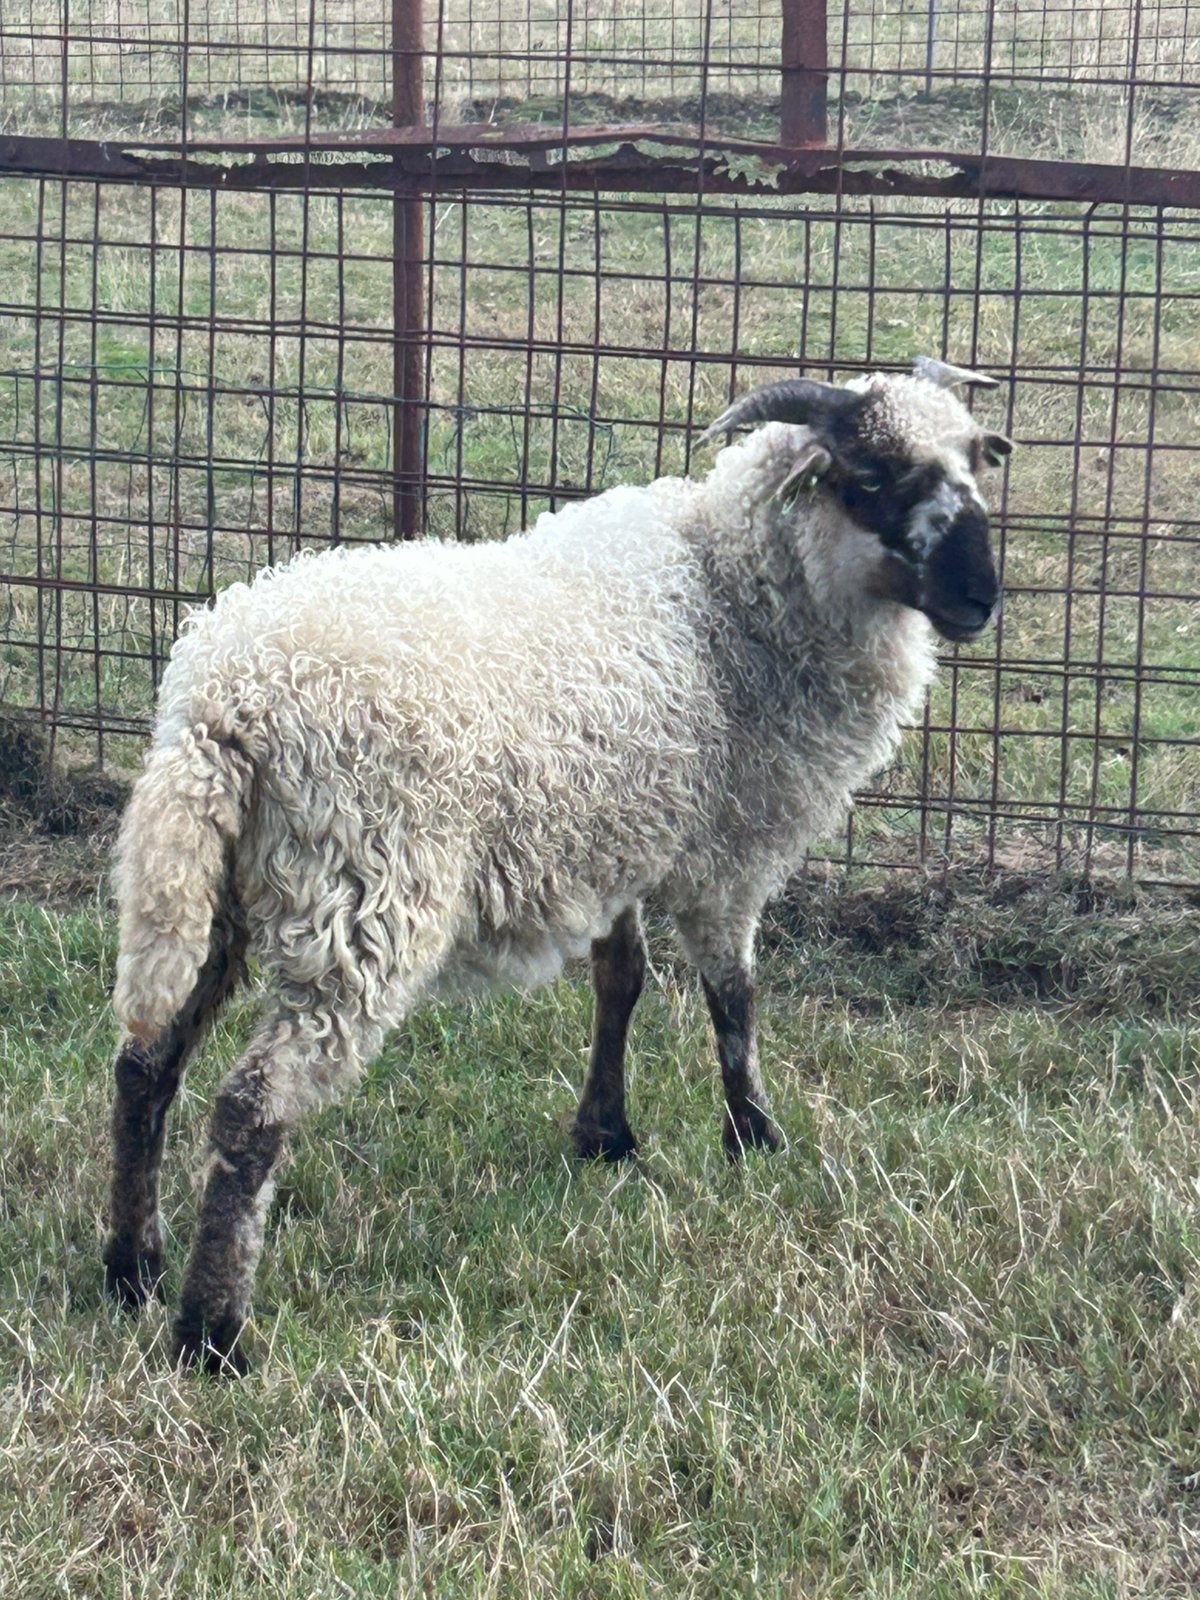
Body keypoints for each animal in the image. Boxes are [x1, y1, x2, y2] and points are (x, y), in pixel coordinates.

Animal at [103, 357, 1012, 1372]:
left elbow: (623, 979)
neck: (726, 589)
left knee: (144, 1066)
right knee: (252, 1109)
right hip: (362, 898)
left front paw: (605, 1134)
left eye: (977, 458)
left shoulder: (619, 831)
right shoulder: (726, 851)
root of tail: (221, 705)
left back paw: (131, 1267)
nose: (983, 597)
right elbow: (733, 998)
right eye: (874, 476)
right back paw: (210, 1332)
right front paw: (754, 1137)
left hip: (206, 894)